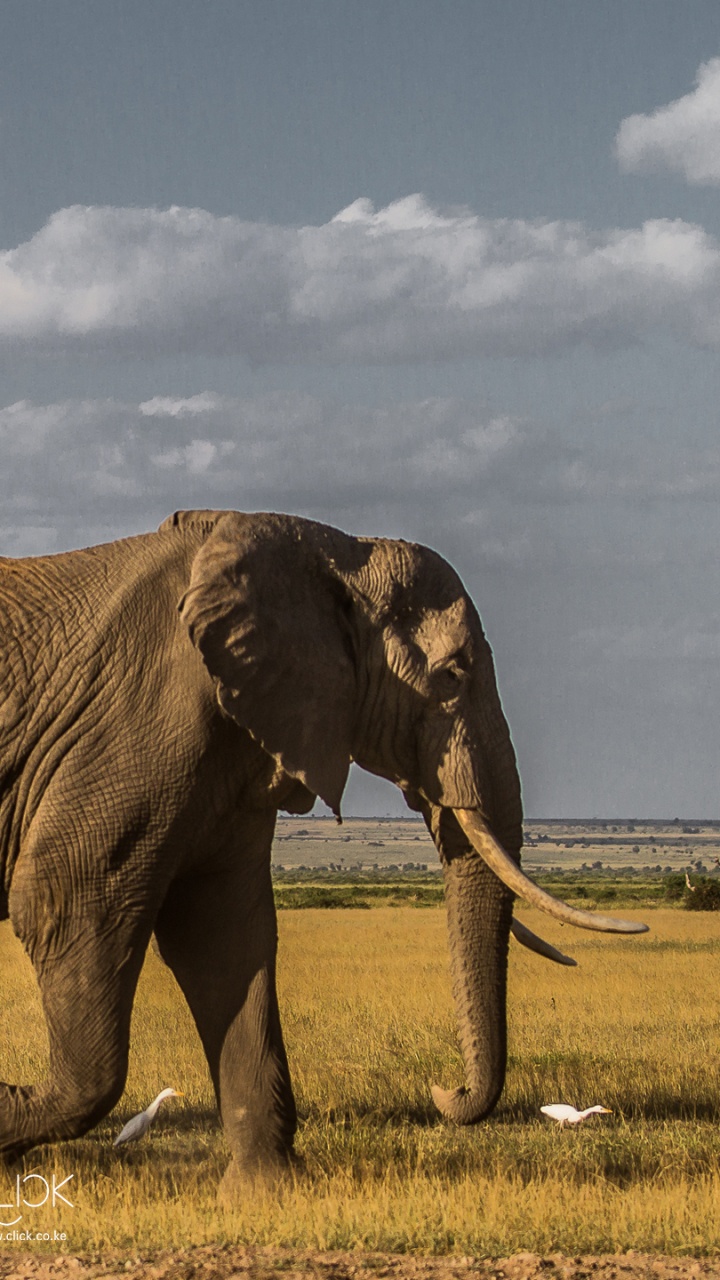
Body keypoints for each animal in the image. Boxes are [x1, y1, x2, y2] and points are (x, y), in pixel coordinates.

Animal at [0, 508, 647, 1177]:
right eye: (452, 674)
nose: (445, 1092)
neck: (327, 549)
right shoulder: (131, 731)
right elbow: (66, 904)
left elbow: (225, 936)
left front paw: (266, 1188)